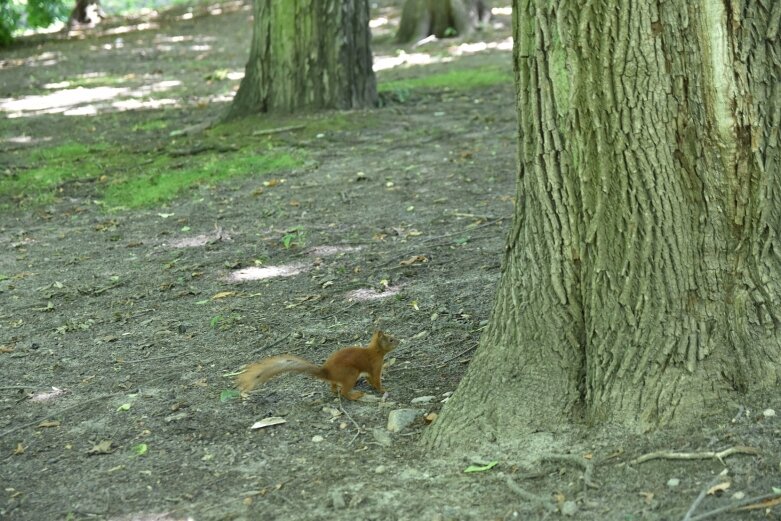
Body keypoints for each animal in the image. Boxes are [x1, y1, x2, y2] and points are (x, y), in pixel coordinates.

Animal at [236, 332, 396, 400]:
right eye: (391, 340)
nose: (399, 340)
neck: (375, 351)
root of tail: (328, 372)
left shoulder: (369, 371)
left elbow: (370, 379)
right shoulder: (375, 366)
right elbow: (376, 380)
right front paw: (383, 390)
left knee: (333, 387)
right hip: (351, 374)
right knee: (344, 392)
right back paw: (354, 395)